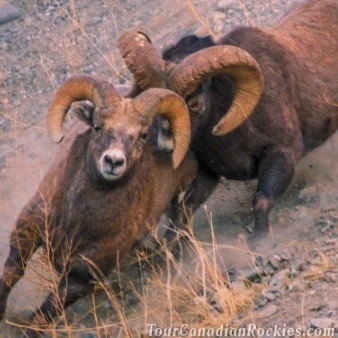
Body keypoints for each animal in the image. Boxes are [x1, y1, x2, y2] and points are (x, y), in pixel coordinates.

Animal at [0, 74, 198, 332]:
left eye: (143, 135)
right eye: (97, 126)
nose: (113, 161)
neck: (73, 220)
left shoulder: (81, 277)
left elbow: (43, 316)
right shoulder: (26, 234)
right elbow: (11, 275)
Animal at [117, 0, 338, 236]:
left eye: (195, 103)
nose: (167, 147)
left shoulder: (282, 154)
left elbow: (261, 200)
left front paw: (261, 240)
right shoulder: (208, 174)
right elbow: (183, 213)